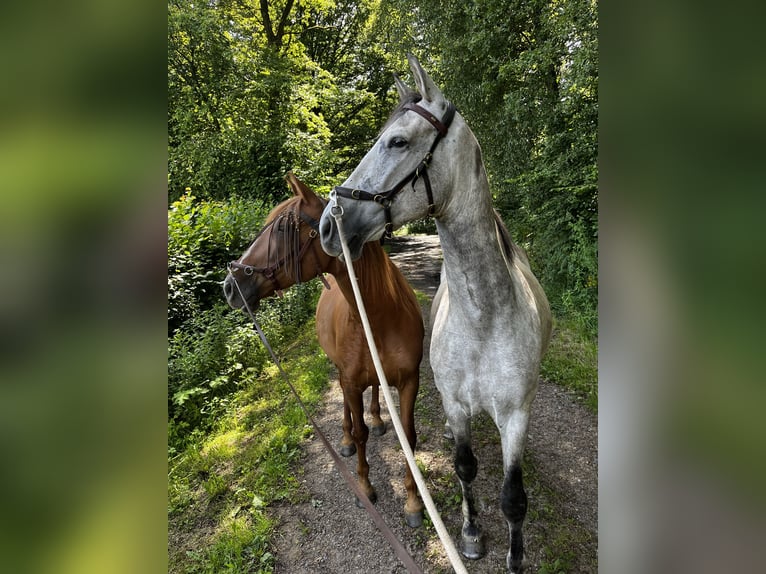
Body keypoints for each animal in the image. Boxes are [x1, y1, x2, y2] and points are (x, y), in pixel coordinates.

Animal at [224, 173, 426, 528]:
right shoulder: (351, 381)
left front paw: (414, 502)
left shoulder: (409, 381)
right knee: (347, 408)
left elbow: (409, 438)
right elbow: (359, 433)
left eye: (281, 230)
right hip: (340, 373)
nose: (229, 285)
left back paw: (377, 417)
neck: (381, 315)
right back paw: (345, 440)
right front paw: (364, 486)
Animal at [320, 55, 556, 574]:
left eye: (398, 141)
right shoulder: (455, 403)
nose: (328, 224)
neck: (484, 320)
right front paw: (470, 534)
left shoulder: (516, 415)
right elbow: (465, 468)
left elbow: (514, 498)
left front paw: (515, 557)